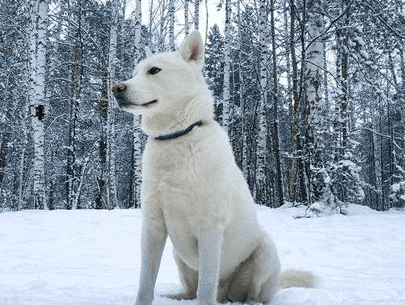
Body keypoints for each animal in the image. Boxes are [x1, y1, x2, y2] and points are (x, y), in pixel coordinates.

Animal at [111, 29, 316, 304]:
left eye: (154, 70)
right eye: (134, 72)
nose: (116, 88)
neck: (177, 138)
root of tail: (226, 293)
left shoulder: (209, 228)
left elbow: (205, 288)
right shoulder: (153, 226)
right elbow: (146, 283)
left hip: (265, 253)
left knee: (249, 293)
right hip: (179, 256)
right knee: (191, 291)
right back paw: (177, 296)